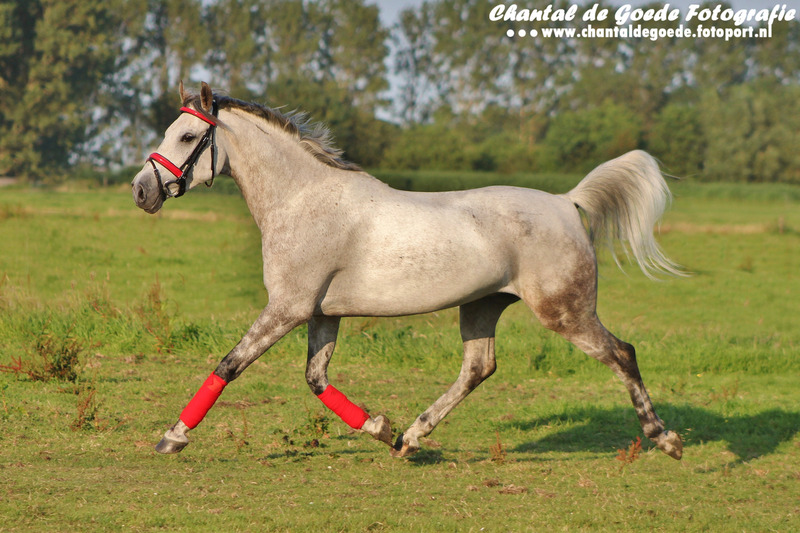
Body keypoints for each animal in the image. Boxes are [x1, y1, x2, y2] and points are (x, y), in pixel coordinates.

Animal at [132, 82, 684, 460]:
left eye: (186, 135)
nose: (142, 191)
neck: (302, 200)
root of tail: (567, 202)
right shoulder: (322, 313)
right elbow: (315, 379)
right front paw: (380, 428)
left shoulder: (287, 308)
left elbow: (229, 365)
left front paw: (172, 437)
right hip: (482, 306)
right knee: (478, 369)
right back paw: (411, 437)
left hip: (564, 313)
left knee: (622, 353)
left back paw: (666, 439)